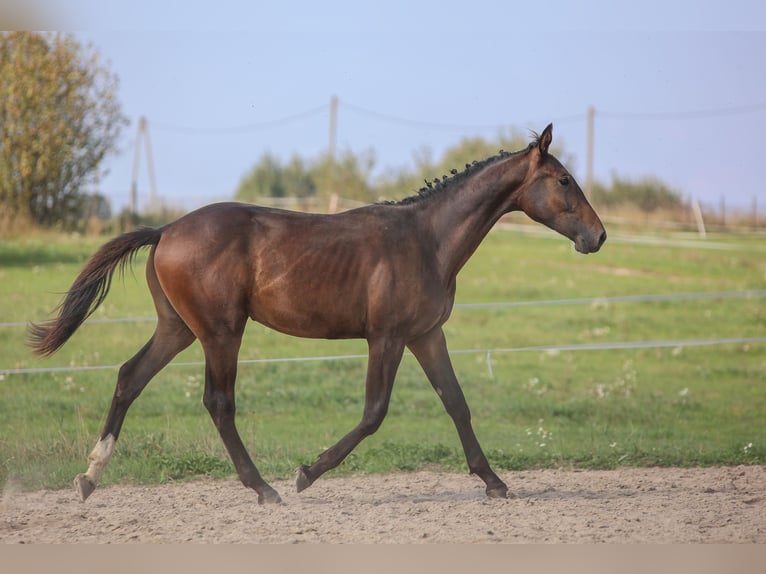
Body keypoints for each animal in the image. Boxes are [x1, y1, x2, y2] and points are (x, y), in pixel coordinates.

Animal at [28, 125, 608, 504]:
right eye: (563, 180)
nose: (598, 236)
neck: (427, 239)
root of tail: (166, 229)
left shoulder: (426, 335)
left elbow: (457, 404)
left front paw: (494, 482)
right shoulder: (387, 337)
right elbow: (374, 413)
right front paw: (307, 473)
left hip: (178, 329)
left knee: (130, 377)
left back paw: (89, 477)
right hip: (220, 332)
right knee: (218, 401)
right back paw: (264, 488)